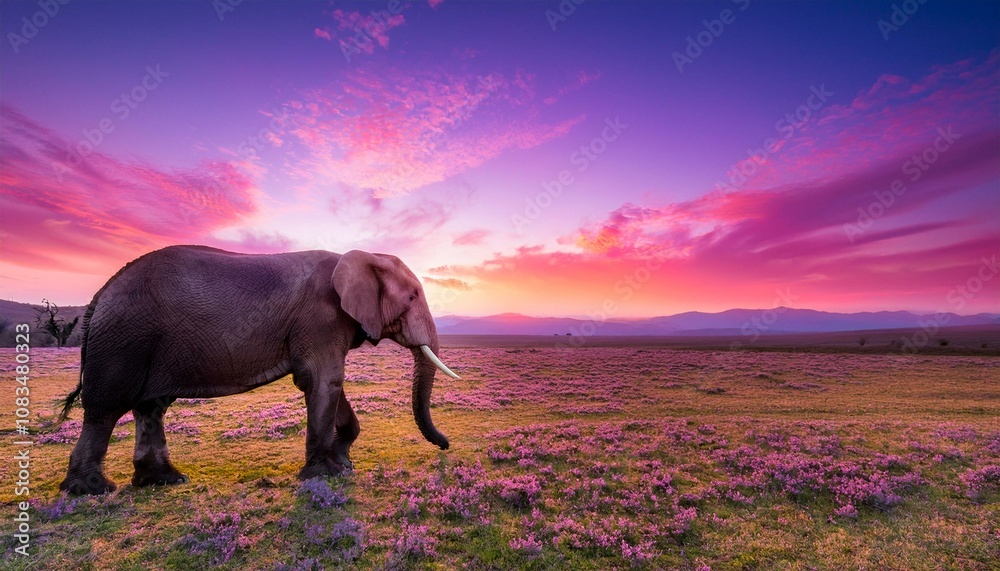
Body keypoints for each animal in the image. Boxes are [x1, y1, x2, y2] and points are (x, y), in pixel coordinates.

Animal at [57, 245, 460, 495]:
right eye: (412, 298)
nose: (446, 447)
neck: (362, 254)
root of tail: (100, 295)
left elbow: (327, 382)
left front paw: (344, 464)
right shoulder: (320, 319)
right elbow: (323, 380)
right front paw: (325, 475)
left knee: (150, 408)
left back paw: (165, 481)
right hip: (123, 341)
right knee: (105, 410)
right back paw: (90, 490)